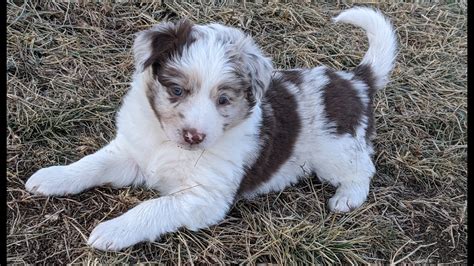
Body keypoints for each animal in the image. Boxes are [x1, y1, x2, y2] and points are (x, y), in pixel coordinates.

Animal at [25, 7, 396, 250]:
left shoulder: (205, 197)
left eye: (224, 99)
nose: (194, 136)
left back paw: (347, 197)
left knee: (363, 168)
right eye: (176, 90)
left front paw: (113, 231)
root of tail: (355, 80)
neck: (169, 145)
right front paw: (53, 177)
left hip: (336, 151)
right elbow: (93, 164)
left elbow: (154, 207)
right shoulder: (132, 154)